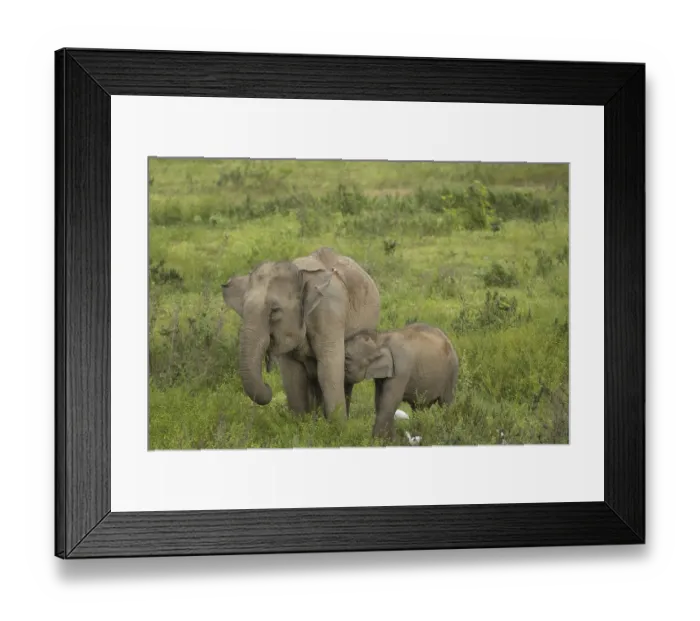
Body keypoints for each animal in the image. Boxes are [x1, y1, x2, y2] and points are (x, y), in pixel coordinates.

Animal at [221, 247, 381, 420]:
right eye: (243, 309)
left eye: (275, 310)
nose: (268, 385)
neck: (299, 273)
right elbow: (293, 376)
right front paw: (301, 423)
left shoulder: (329, 312)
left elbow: (328, 370)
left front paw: (338, 426)